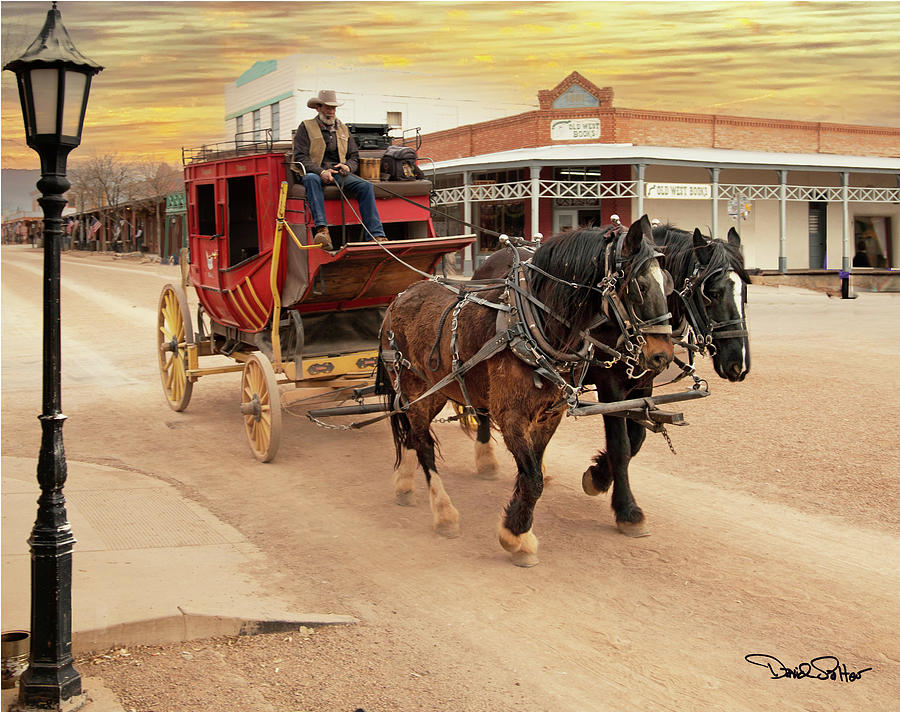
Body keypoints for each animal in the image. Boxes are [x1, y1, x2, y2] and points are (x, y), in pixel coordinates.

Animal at [376, 214, 672, 564]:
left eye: (668, 283)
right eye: (641, 286)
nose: (663, 355)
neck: (532, 324)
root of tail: (399, 298)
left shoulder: (548, 416)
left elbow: (533, 471)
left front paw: (518, 526)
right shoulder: (512, 415)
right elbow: (533, 478)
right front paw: (516, 536)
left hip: (432, 392)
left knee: (412, 434)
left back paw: (405, 485)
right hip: (415, 389)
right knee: (423, 444)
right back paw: (444, 513)